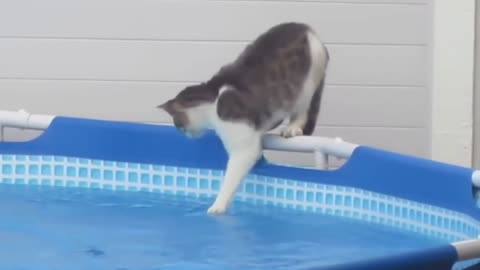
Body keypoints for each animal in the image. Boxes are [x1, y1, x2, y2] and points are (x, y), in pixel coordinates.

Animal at [158, 22, 330, 214]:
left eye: (177, 124)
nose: (184, 134)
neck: (213, 95)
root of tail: (307, 28)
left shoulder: (242, 143)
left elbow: (232, 175)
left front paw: (217, 207)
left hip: (308, 80)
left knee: (302, 109)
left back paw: (293, 127)